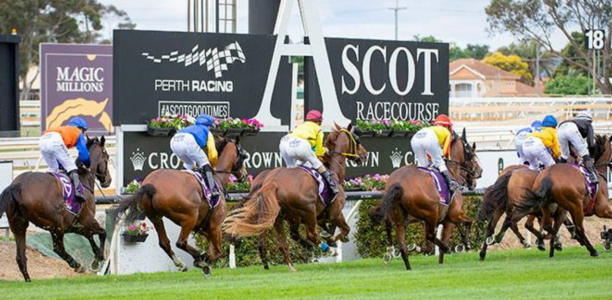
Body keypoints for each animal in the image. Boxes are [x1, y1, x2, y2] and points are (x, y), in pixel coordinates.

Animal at [0, 137, 112, 282]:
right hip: (55, 225)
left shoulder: (75, 225)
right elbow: (103, 232)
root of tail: (17, 186)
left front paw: (96, 257)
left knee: (21, 257)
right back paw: (77, 265)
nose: (108, 180)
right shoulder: (86, 220)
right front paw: (97, 258)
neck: (83, 179)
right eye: (107, 156)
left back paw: (28, 280)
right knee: (58, 249)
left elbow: (90, 236)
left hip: (18, 225)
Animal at [110, 137, 246, 276]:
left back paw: (181, 264)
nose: (244, 174)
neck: (217, 178)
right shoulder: (215, 225)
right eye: (243, 156)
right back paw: (198, 257)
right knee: (181, 242)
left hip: (156, 217)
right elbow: (218, 253)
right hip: (190, 217)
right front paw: (205, 261)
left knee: (165, 242)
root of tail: (152, 184)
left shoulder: (201, 226)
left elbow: (211, 245)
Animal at [225, 123, 368, 270]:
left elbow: (329, 228)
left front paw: (329, 236)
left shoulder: (321, 216)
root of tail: (273, 182)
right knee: (310, 234)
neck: (333, 170)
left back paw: (290, 264)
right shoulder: (335, 212)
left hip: (281, 216)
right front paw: (332, 241)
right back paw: (325, 249)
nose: (365, 155)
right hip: (307, 211)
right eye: (357, 140)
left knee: (283, 241)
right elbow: (345, 229)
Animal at [368, 129, 482, 270]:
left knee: (403, 247)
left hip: (399, 217)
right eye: (472, 154)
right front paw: (466, 244)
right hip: (431, 213)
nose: (479, 172)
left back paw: (407, 264)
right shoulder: (454, 214)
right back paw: (445, 248)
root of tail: (398, 183)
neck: (451, 172)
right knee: (430, 236)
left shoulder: (447, 218)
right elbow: (469, 222)